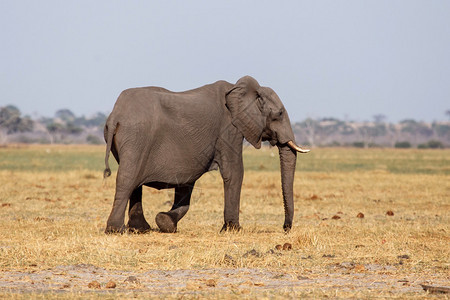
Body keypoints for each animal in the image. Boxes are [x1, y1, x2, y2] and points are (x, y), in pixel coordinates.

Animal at [104, 75, 310, 234]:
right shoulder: (229, 130)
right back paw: (116, 230)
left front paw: (165, 222)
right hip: (136, 138)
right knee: (127, 179)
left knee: (135, 183)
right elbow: (234, 172)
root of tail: (115, 115)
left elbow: (186, 181)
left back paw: (140, 229)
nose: (285, 228)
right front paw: (233, 230)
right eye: (280, 114)